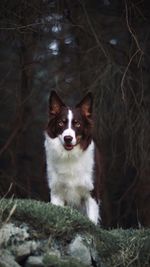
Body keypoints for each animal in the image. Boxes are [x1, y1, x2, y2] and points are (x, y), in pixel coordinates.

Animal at [44, 91, 101, 225]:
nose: (68, 138)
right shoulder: (57, 192)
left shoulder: (91, 194)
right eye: (60, 123)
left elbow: (92, 221)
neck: (69, 156)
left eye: (77, 124)